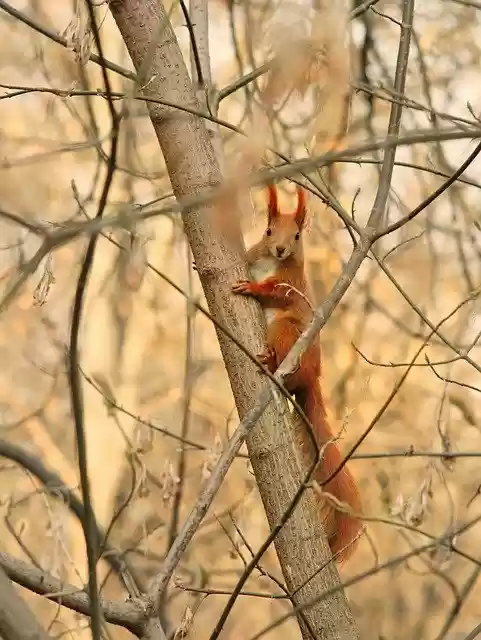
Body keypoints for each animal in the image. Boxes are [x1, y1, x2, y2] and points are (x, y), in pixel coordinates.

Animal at [232, 182, 362, 563]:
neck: (271, 262)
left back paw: (271, 360)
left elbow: (274, 290)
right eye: (268, 231)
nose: (279, 248)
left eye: (298, 236)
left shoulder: (290, 284)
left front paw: (251, 288)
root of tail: (312, 378)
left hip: (287, 331)